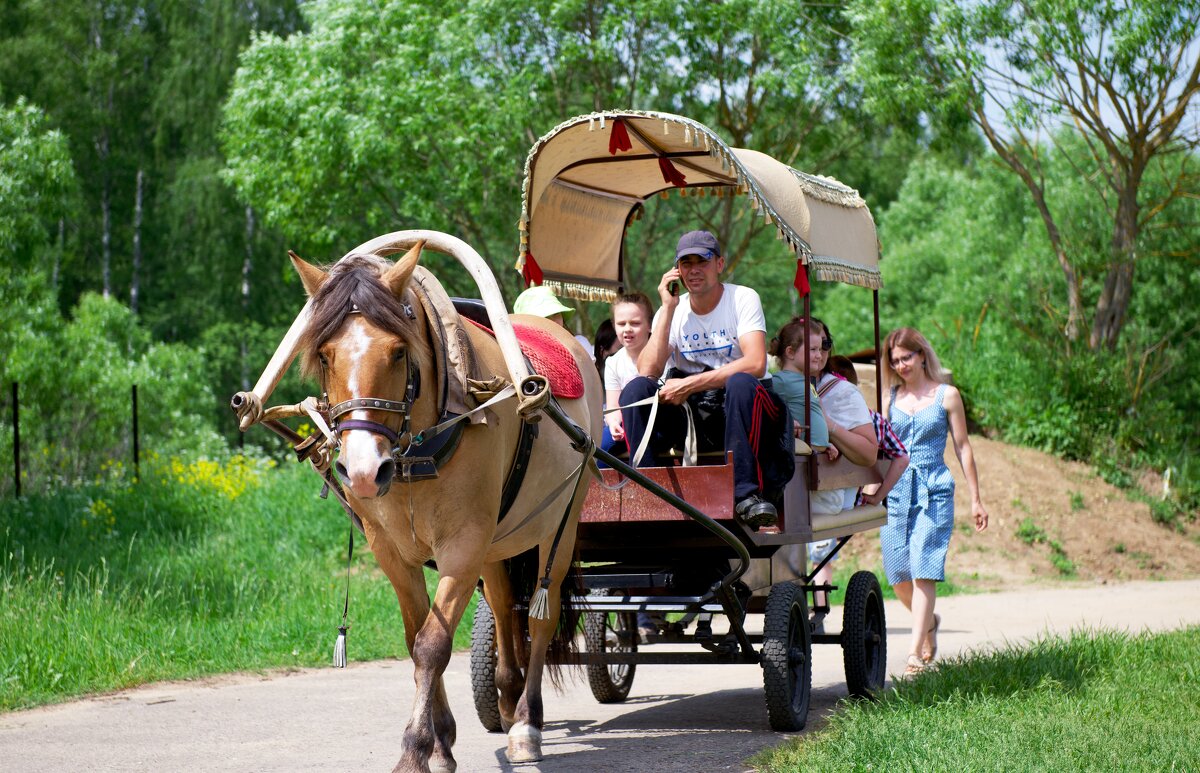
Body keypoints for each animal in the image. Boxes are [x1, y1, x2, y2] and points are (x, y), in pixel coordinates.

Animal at [286, 243, 604, 773]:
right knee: (503, 603)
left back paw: (526, 722)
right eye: (326, 355)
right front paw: (441, 741)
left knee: (541, 614)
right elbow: (415, 638)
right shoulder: (392, 552)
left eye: (399, 351)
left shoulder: (463, 545)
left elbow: (433, 646)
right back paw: (507, 693)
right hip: (499, 539)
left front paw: (416, 749)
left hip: (558, 525)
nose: (364, 471)